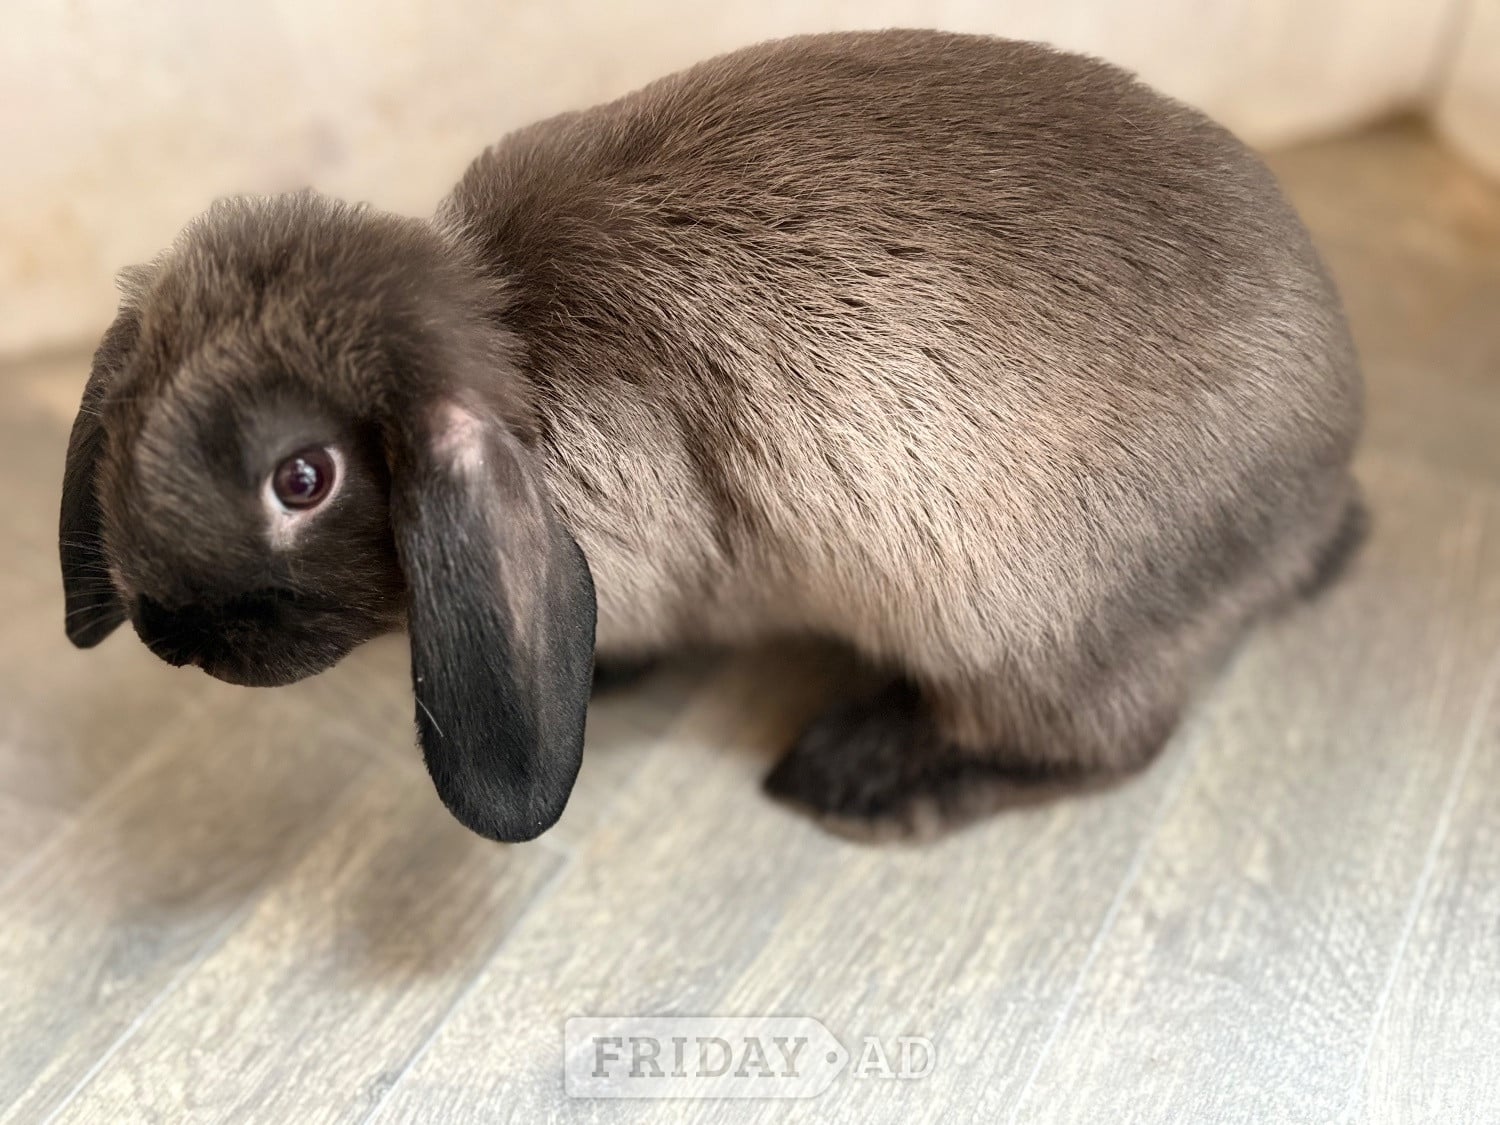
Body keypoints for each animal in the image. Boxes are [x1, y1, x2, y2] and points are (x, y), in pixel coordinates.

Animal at [60, 29, 1364, 843]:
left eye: (304, 478)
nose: (171, 638)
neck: (522, 356)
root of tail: (1322, 495)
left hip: (1032, 625)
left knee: (1107, 742)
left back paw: (855, 779)